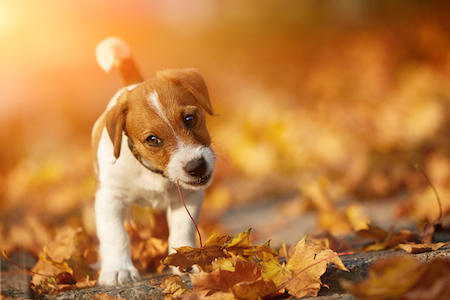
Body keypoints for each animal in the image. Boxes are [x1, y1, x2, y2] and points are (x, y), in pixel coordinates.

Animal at [91, 37, 214, 286]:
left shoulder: (188, 197)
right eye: (153, 140)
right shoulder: (109, 199)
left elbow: (182, 228)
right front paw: (117, 269)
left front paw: (186, 262)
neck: (152, 171)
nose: (196, 167)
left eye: (190, 118)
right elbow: (115, 235)